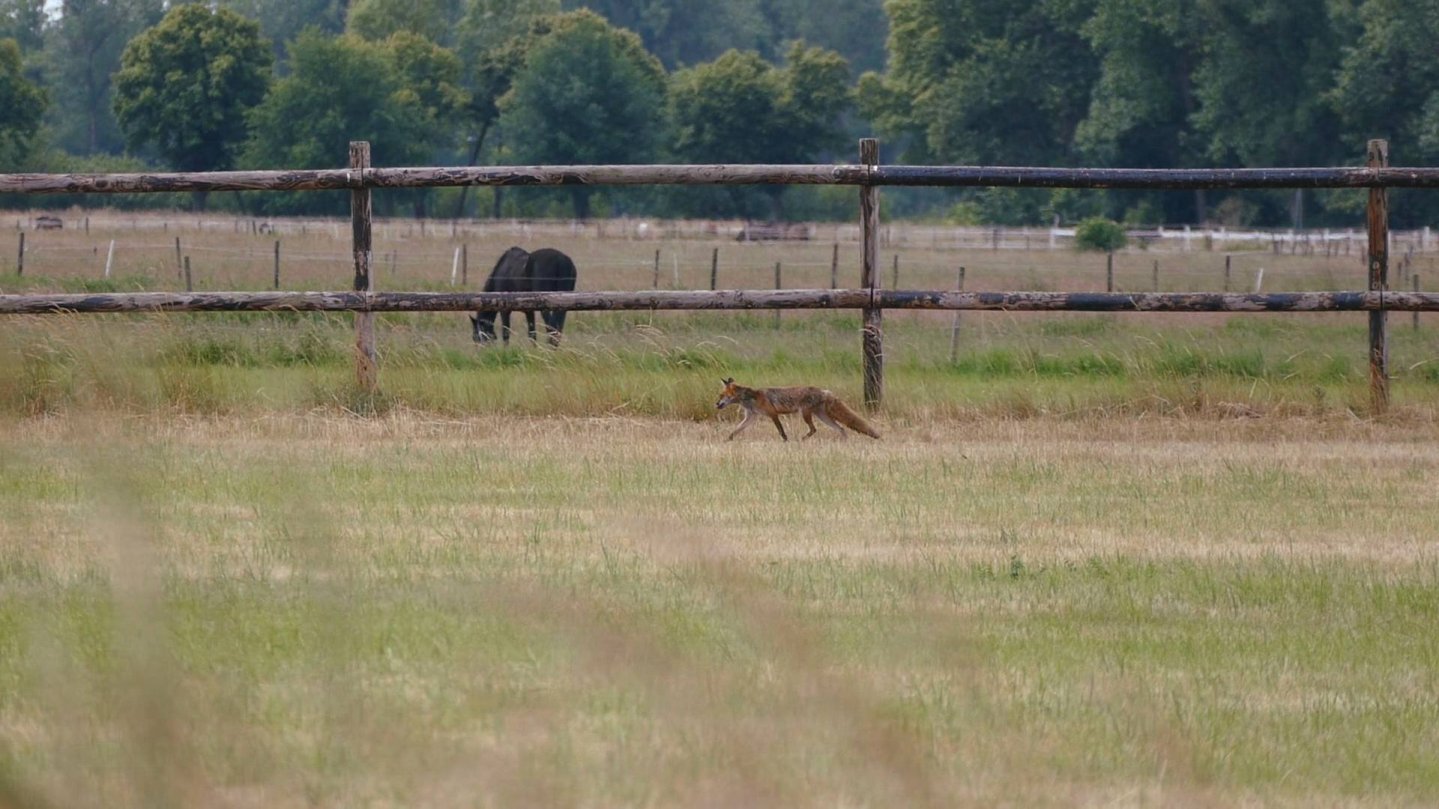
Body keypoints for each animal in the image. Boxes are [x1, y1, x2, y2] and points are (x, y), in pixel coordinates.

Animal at [715, 377, 880, 441]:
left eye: (721, 395)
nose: (716, 404)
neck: (751, 399)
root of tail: (824, 391)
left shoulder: (772, 414)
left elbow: (781, 431)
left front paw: (786, 441)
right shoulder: (751, 416)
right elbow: (736, 430)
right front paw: (727, 440)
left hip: (805, 414)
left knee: (814, 429)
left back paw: (801, 440)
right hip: (822, 416)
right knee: (841, 428)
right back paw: (844, 442)